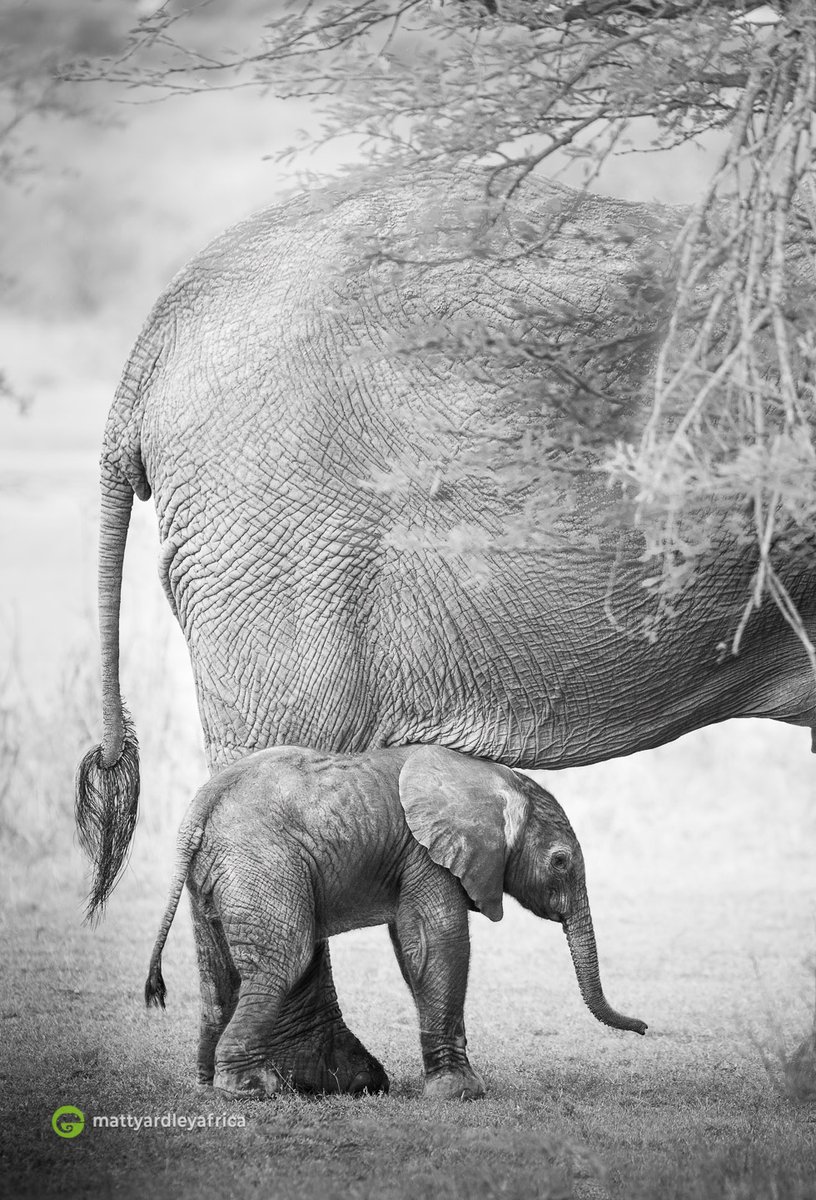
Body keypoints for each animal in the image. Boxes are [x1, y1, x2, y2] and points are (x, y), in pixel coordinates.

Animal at [144, 744, 646, 1099]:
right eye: (560, 862)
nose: (644, 1029)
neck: (494, 777)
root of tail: (201, 805)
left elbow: (414, 949)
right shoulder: (427, 854)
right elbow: (439, 941)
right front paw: (462, 1094)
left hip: (215, 875)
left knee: (218, 971)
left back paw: (207, 1084)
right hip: (261, 863)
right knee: (283, 959)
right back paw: (249, 1089)